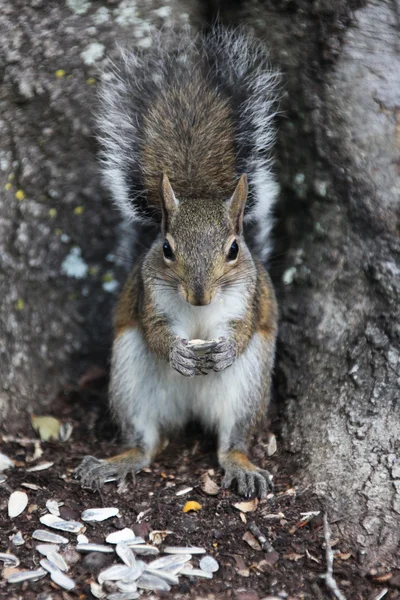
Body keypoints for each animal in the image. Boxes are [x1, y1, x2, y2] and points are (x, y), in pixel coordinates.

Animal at [76, 27, 282, 496]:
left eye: (234, 249)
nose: (201, 296)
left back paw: (242, 465)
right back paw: (117, 462)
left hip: (249, 387)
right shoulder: (147, 297)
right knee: (145, 441)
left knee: (232, 441)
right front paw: (178, 352)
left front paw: (225, 348)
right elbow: (155, 332)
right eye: (167, 249)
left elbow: (243, 329)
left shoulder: (250, 298)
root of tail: (191, 411)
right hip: (131, 381)